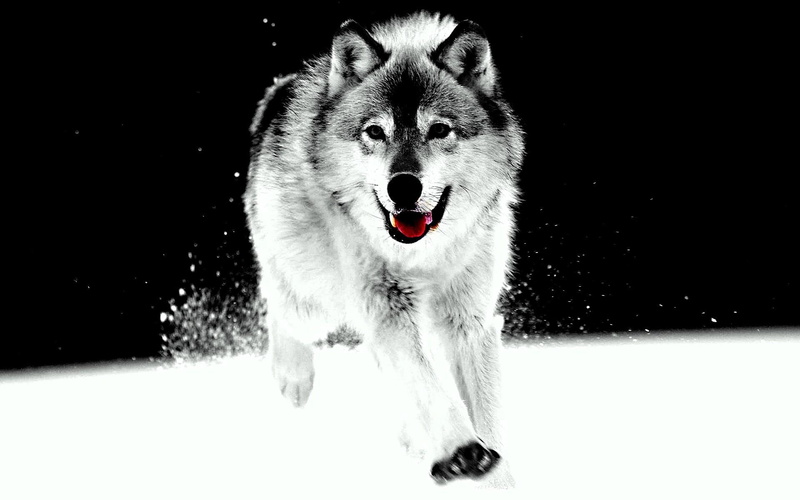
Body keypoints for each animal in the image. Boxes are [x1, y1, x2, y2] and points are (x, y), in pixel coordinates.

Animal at [244, 12, 524, 487]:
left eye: (439, 130)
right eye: (375, 132)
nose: (403, 186)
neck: (424, 255)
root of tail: (282, 87)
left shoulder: (469, 321)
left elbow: (485, 414)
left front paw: (494, 477)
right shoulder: (387, 308)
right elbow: (428, 385)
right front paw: (463, 450)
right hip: (314, 304)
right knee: (278, 304)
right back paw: (293, 377)